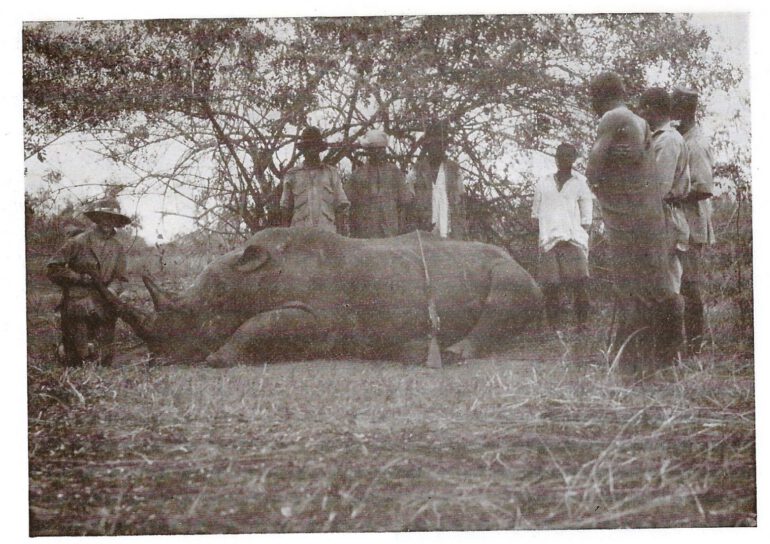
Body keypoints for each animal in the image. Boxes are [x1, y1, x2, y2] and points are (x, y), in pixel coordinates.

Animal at [105, 227, 543, 366]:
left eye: (192, 316)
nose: (157, 359)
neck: (254, 280)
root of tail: (514, 256)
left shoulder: (320, 317)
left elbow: (261, 324)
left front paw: (217, 359)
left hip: (511, 271)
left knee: (506, 294)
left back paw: (452, 354)